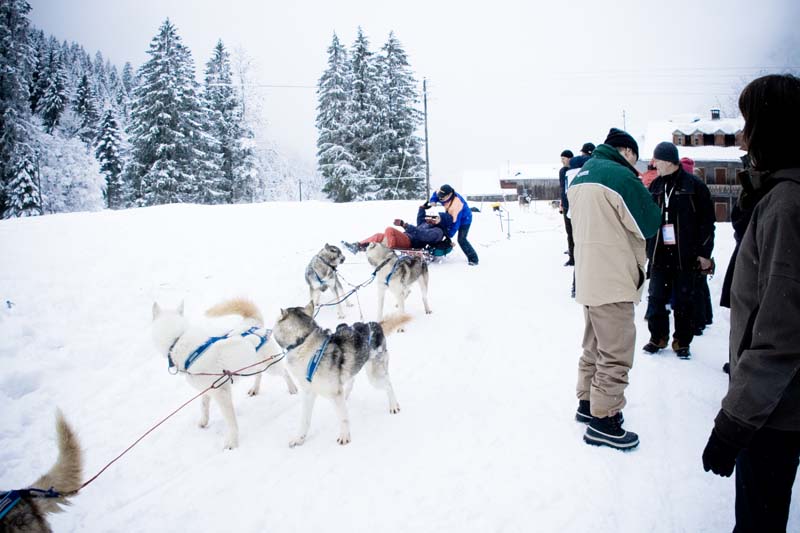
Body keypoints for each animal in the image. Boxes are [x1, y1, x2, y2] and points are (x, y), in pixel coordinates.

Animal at [151, 298, 297, 449]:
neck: (177, 340)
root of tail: (253, 323)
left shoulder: (222, 393)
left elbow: (231, 422)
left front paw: (232, 441)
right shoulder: (207, 389)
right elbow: (204, 406)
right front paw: (204, 421)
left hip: (272, 366)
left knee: (285, 372)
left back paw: (293, 389)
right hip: (251, 364)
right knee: (259, 374)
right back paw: (255, 389)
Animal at [272, 302, 409, 447]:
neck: (303, 343)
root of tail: (373, 325)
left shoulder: (334, 393)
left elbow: (343, 418)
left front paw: (344, 436)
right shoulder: (308, 394)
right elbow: (304, 420)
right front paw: (299, 438)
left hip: (375, 377)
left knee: (388, 384)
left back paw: (394, 405)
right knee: (351, 382)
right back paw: (347, 395)